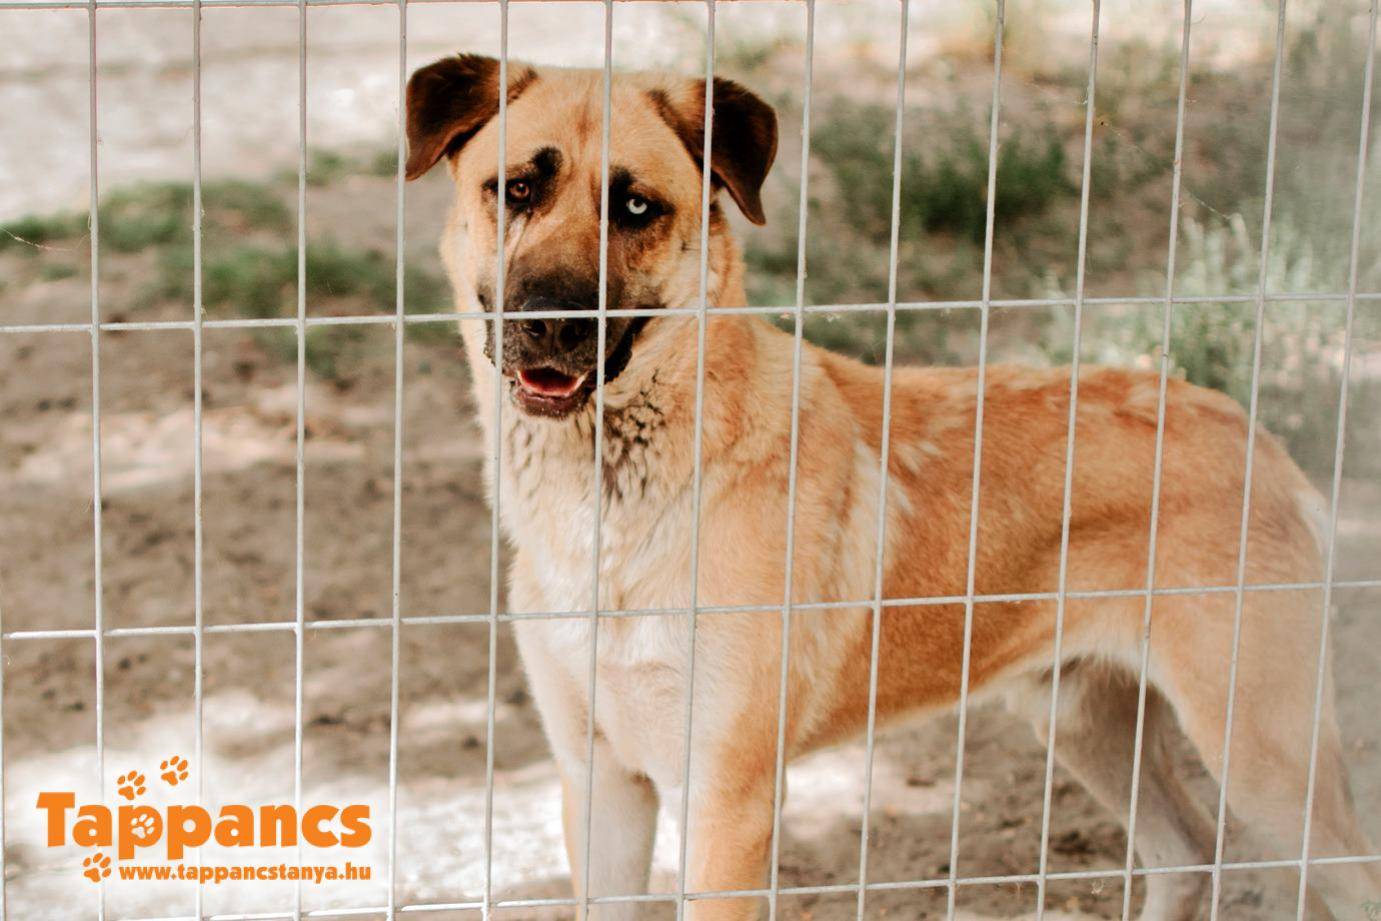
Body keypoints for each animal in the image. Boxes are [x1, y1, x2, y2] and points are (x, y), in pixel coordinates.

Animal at [404, 55, 1378, 920]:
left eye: (636, 205)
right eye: (515, 189)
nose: (551, 323)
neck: (611, 494)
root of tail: (1256, 435)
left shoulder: (724, 800)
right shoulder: (601, 779)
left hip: (1262, 754)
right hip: (1085, 722)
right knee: (1186, 856)